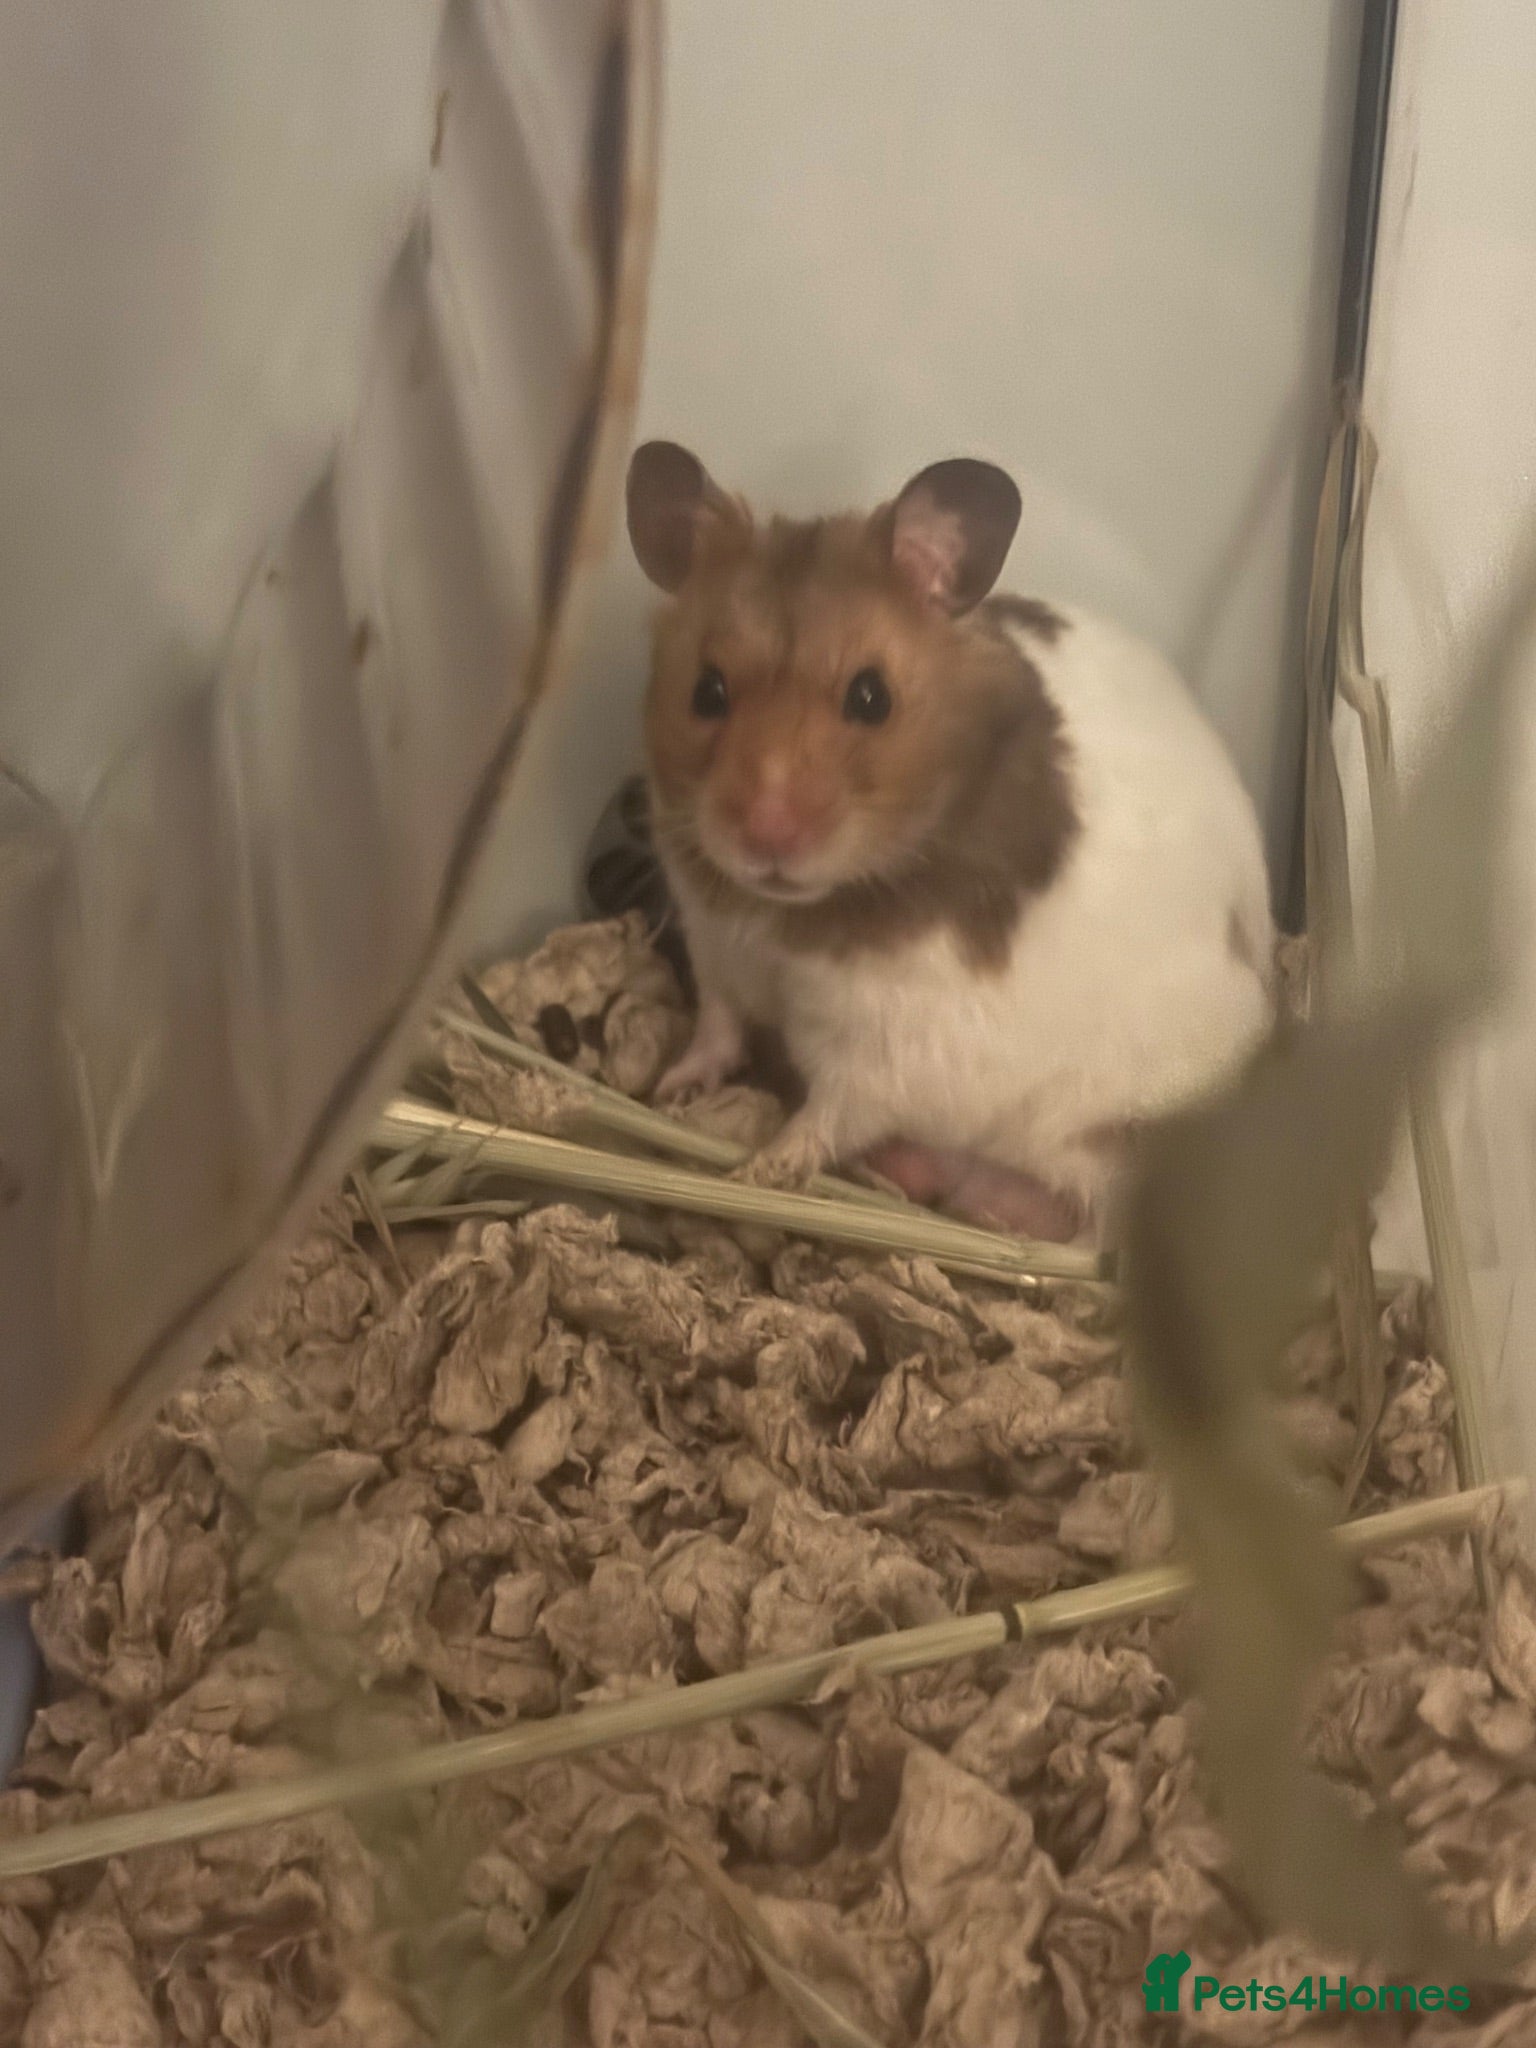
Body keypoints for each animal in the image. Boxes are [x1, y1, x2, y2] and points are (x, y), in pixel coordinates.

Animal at [624, 440, 1276, 1246]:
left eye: (871, 697)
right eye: (706, 691)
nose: (766, 833)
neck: (781, 918)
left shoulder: (881, 1054)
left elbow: (823, 1118)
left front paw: (752, 1174)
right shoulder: (714, 948)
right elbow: (716, 1027)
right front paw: (671, 1089)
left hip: (1108, 1142)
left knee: (1088, 1230)